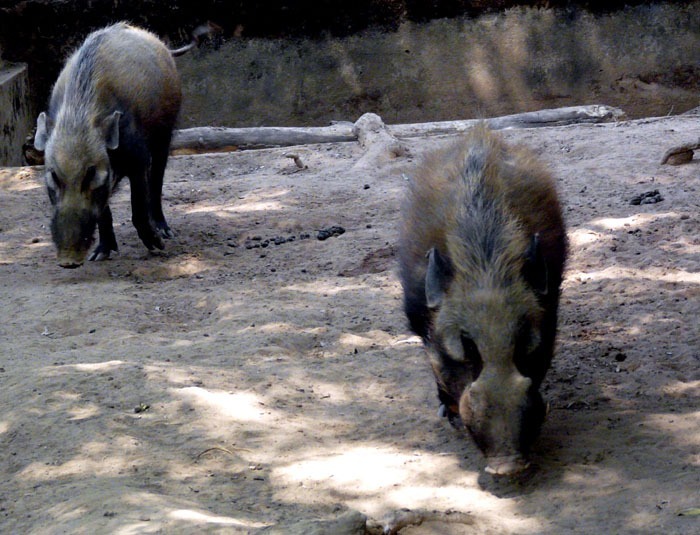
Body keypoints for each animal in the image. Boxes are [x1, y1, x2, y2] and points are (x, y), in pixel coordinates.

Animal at [34, 23, 185, 268]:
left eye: (91, 174)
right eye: (54, 176)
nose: (68, 260)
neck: (77, 118)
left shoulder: (138, 158)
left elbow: (138, 206)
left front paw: (158, 246)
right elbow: (104, 213)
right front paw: (100, 255)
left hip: (165, 134)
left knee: (157, 181)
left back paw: (165, 232)